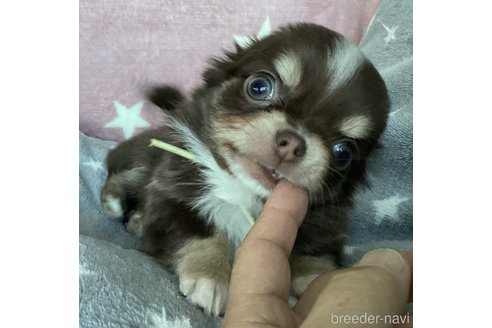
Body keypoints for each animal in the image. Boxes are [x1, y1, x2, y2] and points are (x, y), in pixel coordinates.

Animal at [102, 23, 390, 316]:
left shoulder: (325, 224)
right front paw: (210, 276)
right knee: (117, 168)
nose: (292, 144)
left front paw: (316, 275)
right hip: (144, 157)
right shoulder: (171, 192)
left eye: (344, 152)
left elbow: (314, 252)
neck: (241, 188)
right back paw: (119, 205)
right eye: (259, 87)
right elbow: (201, 231)